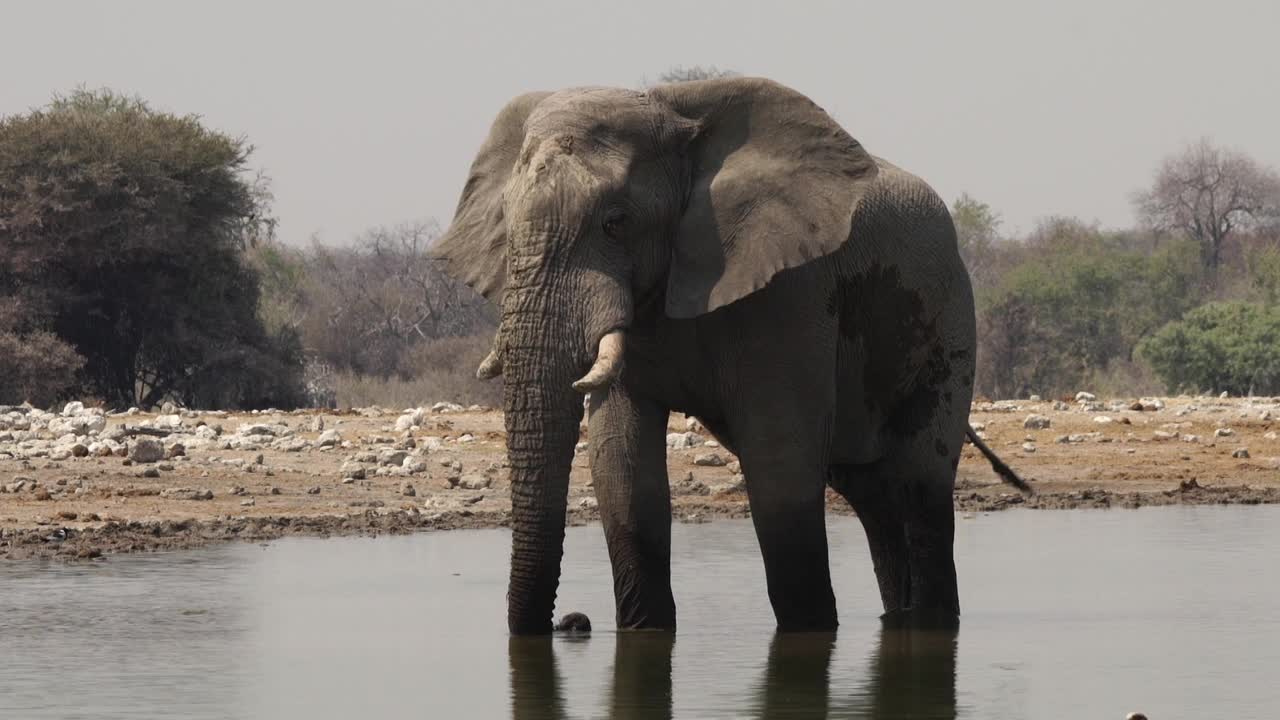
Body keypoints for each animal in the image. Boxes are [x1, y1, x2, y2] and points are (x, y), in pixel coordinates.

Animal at [432, 75, 1029, 630]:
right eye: (506, 224)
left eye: (616, 222)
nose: (572, 622)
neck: (673, 114)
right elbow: (624, 472)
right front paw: (644, 631)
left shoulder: (790, 289)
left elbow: (780, 467)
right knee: (871, 495)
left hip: (948, 320)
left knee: (920, 487)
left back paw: (928, 622)